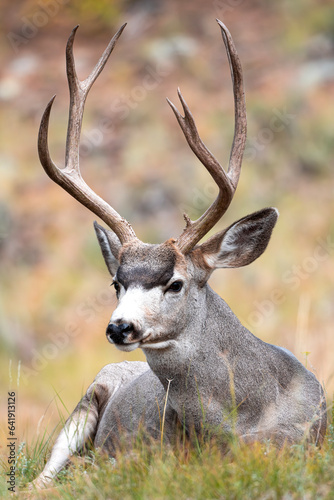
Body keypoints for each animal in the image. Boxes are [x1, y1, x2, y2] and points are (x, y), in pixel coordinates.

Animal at [30, 20, 326, 488]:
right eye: (116, 283)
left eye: (175, 283)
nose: (120, 327)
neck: (245, 417)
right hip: (84, 403)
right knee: (43, 476)